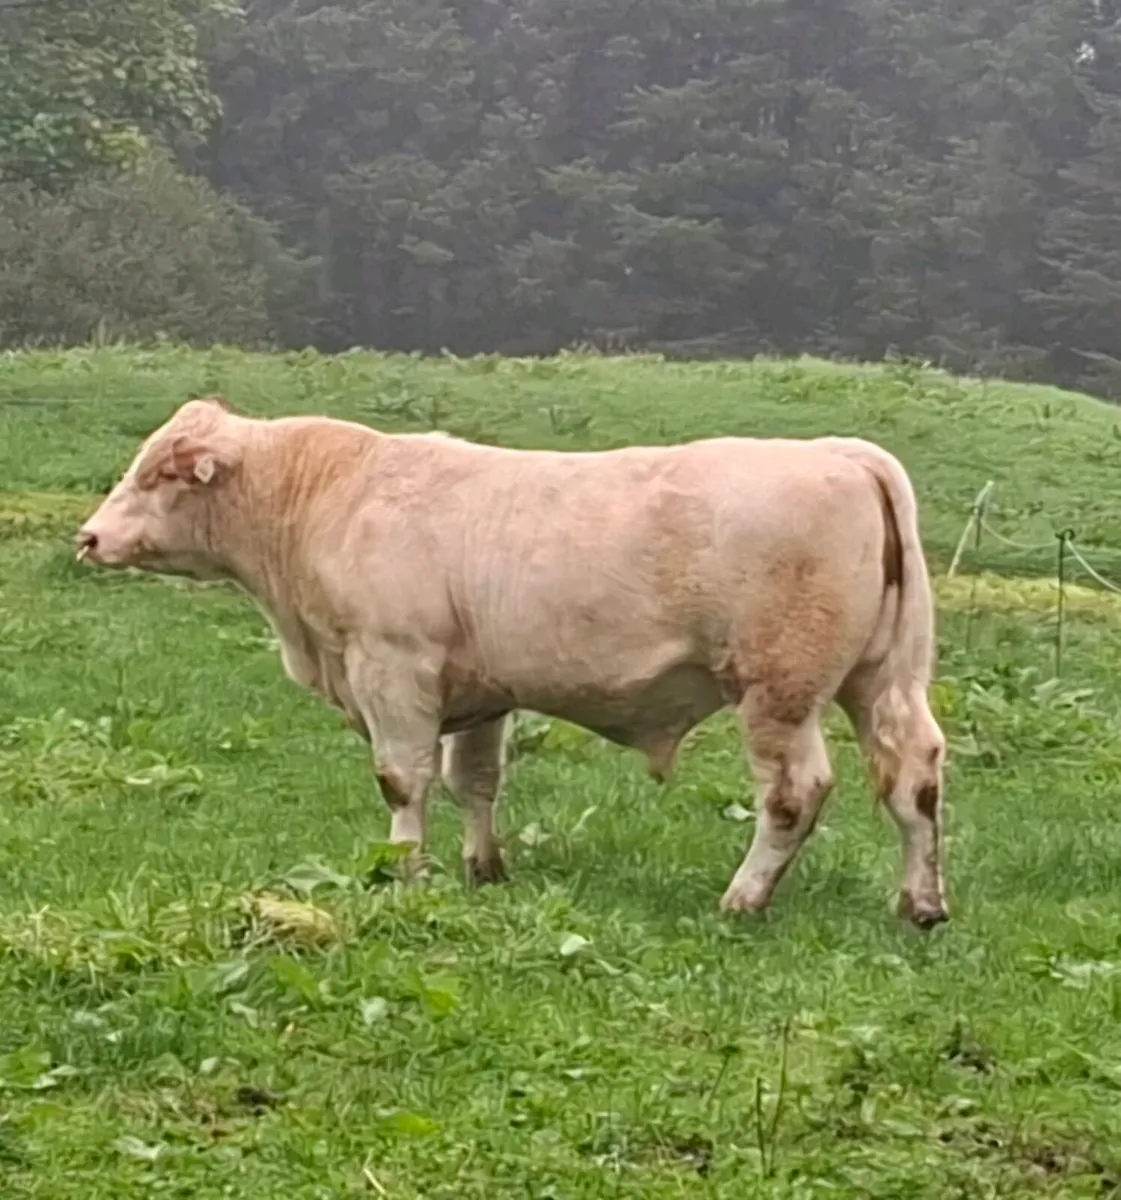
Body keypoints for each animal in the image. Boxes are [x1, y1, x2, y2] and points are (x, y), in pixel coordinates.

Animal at [76, 396, 948, 927]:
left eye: (158, 474)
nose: (88, 537)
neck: (324, 496)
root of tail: (841, 453)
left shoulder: (392, 667)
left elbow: (404, 780)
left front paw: (406, 870)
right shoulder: (482, 691)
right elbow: (475, 781)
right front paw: (483, 868)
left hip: (780, 689)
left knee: (793, 794)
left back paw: (743, 897)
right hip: (884, 681)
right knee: (913, 777)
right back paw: (920, 904)